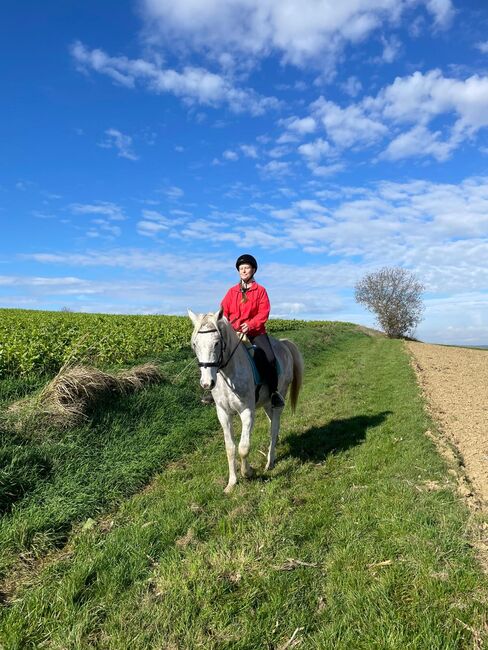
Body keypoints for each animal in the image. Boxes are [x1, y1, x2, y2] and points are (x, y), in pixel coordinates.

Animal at [189, 308, 304, 492]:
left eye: (216, 343)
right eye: (195, 345)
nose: (207, 383)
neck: (229, 373)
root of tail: (284, 344)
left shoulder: (247, 412)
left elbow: (243, 448)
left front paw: (248, 472)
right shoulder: (223, 414)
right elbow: (230, 448)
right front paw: (231, 483)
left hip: (279, 398)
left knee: (274, 427)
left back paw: (270, 462)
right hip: (266, 403)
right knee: (272, 424)